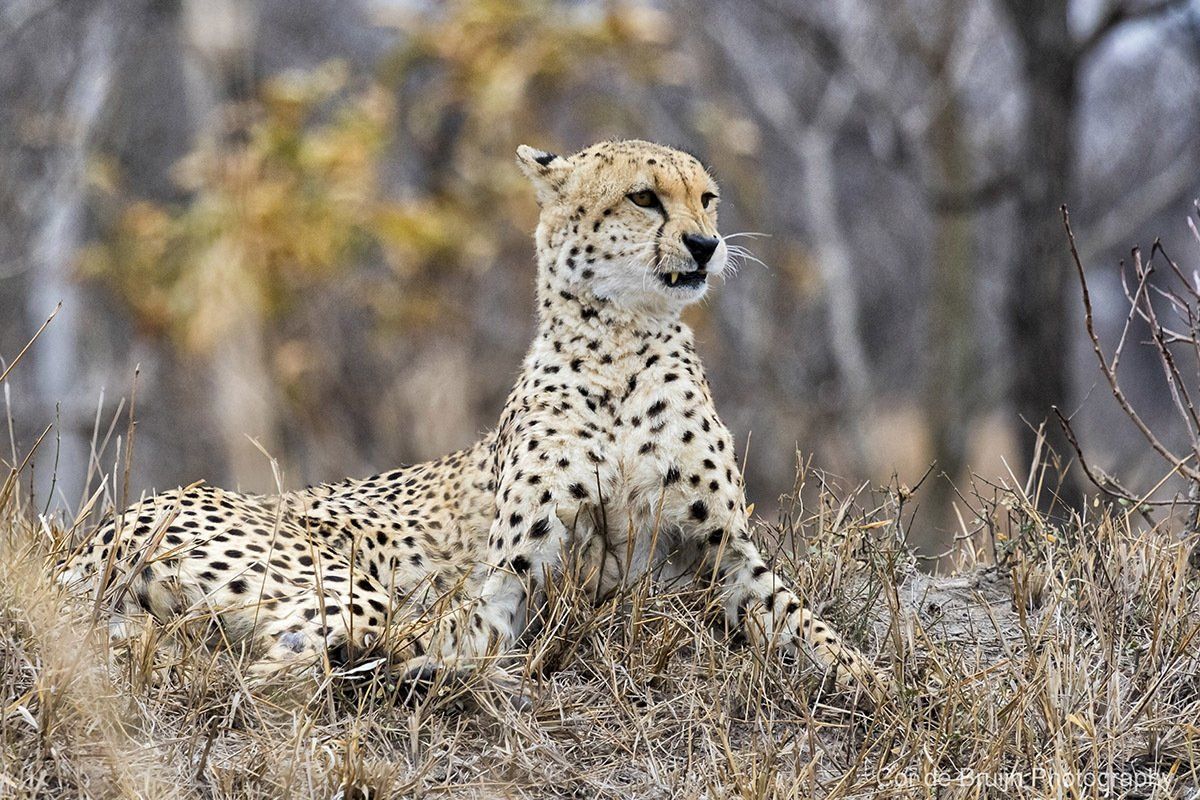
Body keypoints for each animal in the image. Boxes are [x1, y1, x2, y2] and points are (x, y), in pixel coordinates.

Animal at [57, 139, 893, 704]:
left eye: (708, 199)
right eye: (645, 198)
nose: (706, 245)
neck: (623, 345)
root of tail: (101, 529)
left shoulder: (727, 554)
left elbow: (809, 624)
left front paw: (883, 687)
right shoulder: (518, 576)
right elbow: (476, 618)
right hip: (341, 587)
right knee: (276, 670)